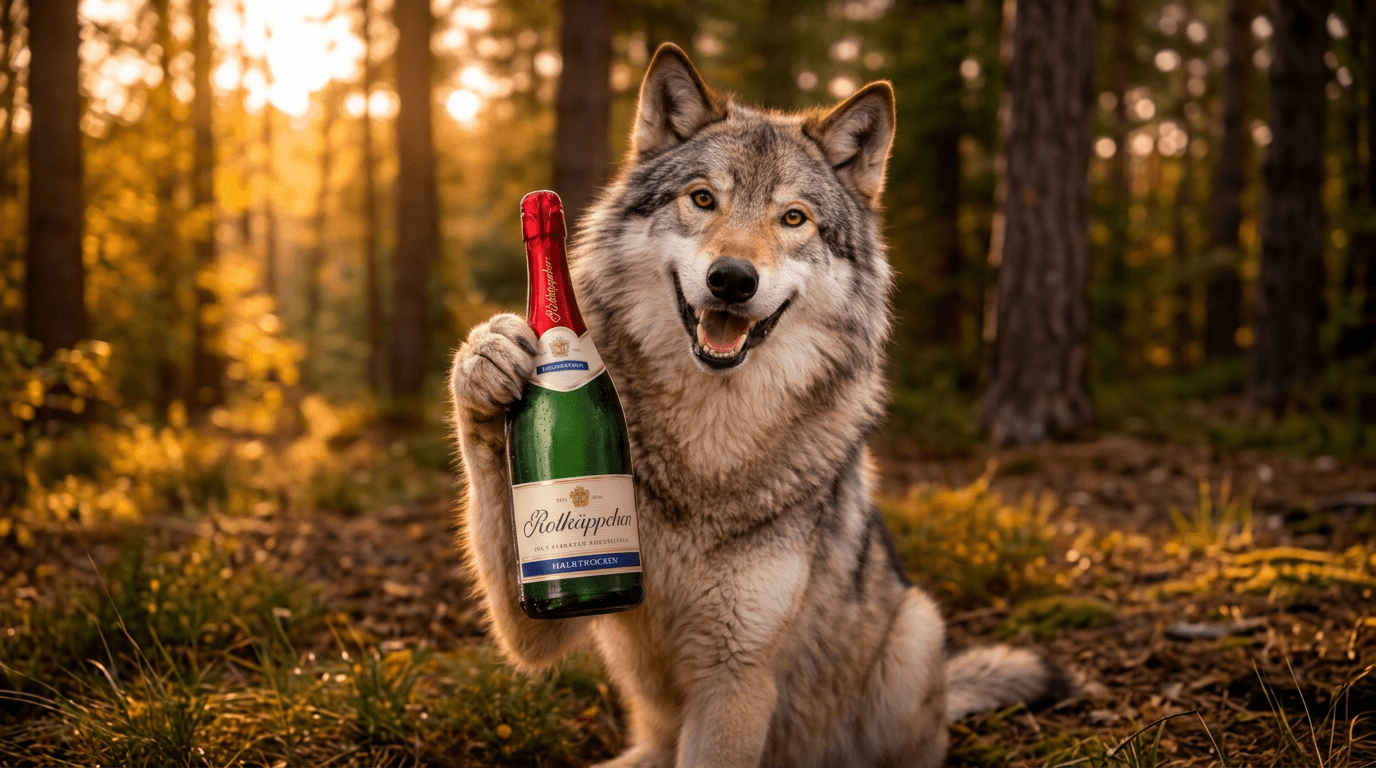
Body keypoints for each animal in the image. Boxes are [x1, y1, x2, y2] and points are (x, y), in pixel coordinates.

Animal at [449, 43, 1067, 768]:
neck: (711, 441)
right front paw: (491, 363)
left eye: (793, 218)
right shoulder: (554, 608)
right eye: (702, 198)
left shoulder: (735, 674)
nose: (732, 280)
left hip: (915, 628)